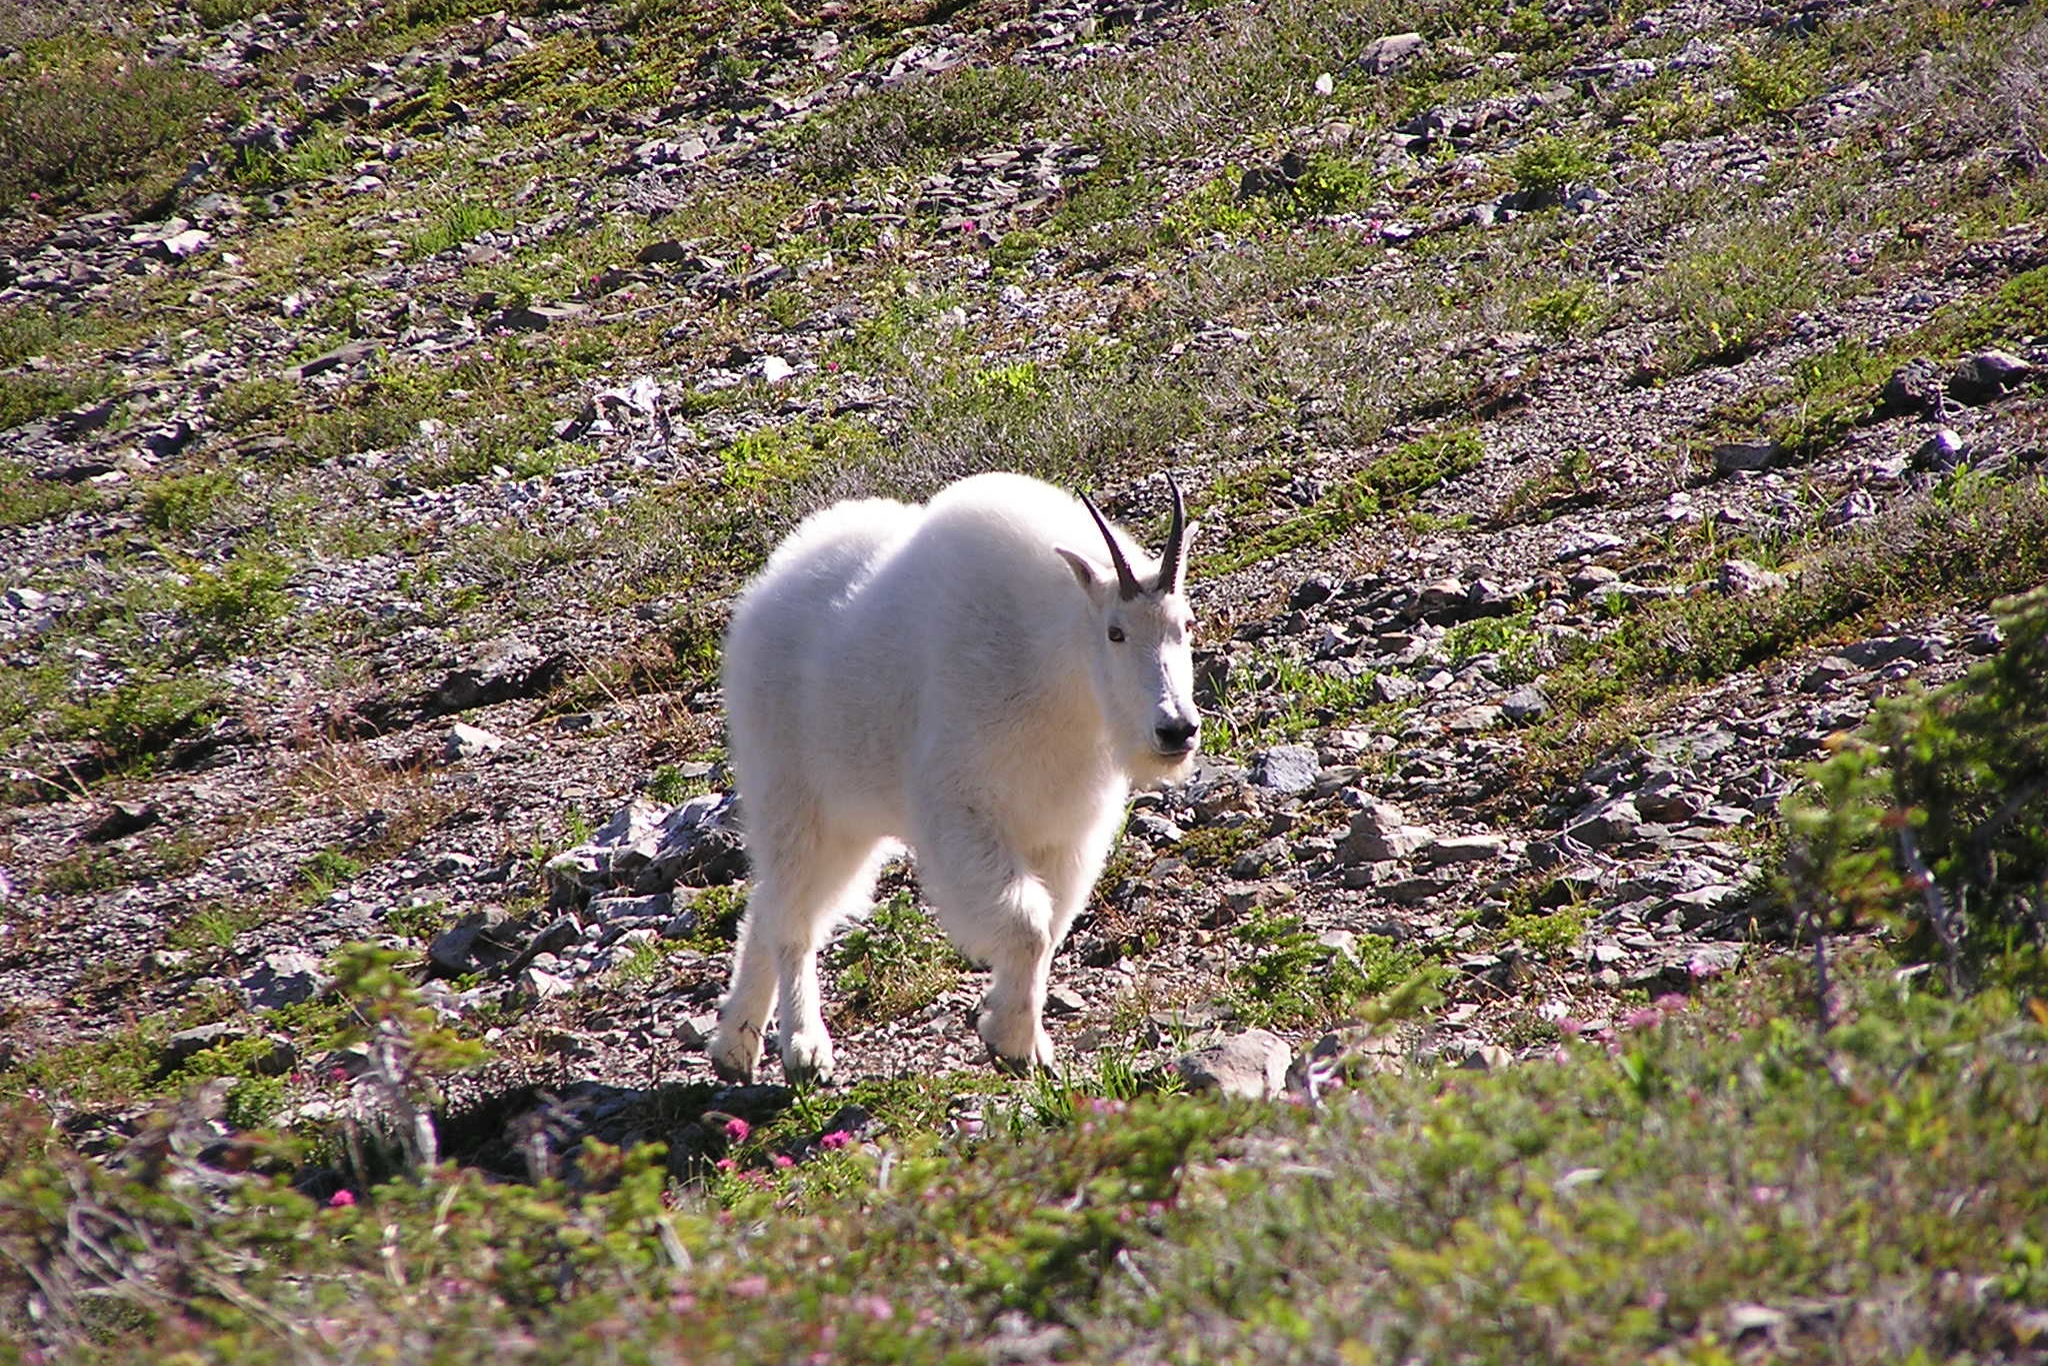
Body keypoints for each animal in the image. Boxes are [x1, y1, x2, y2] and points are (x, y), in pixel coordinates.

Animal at [706, 471, 1200, 1083]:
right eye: (1115, 633)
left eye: (1185, 625)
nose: (1176, 730)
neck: (1056, 675)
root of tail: (761, 597)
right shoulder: (961, 810)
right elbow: (1028, 924)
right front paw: (1012, 1041)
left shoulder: (1065, 831)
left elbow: (1051, 926)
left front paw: (1012, 1031)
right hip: (794, 796)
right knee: (792, 913)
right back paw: (804, 1048)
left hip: (849, 821)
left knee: (768, 903)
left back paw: (734, 1047)